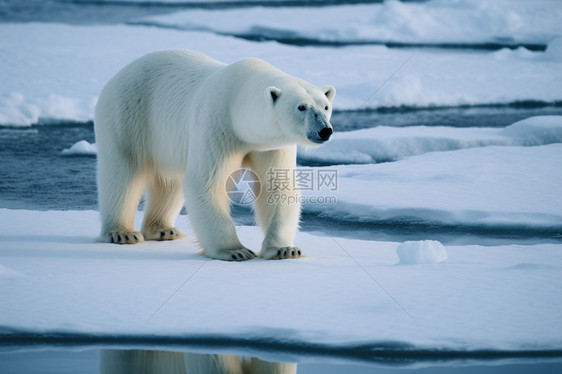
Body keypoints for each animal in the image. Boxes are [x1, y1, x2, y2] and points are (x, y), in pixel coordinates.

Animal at [94, 49, 334, 260]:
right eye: (301, 107)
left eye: (325, 106)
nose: (325, 130)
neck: (238, 102)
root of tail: (120, 73)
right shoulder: (217, 124)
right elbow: (207, 181)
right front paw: (235, 251)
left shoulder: (270, 145)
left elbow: (277, 187)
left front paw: (285, 250)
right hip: (128, 114)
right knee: (122, 173)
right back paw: (122, 233)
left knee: (169, 181)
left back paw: (163, 229)